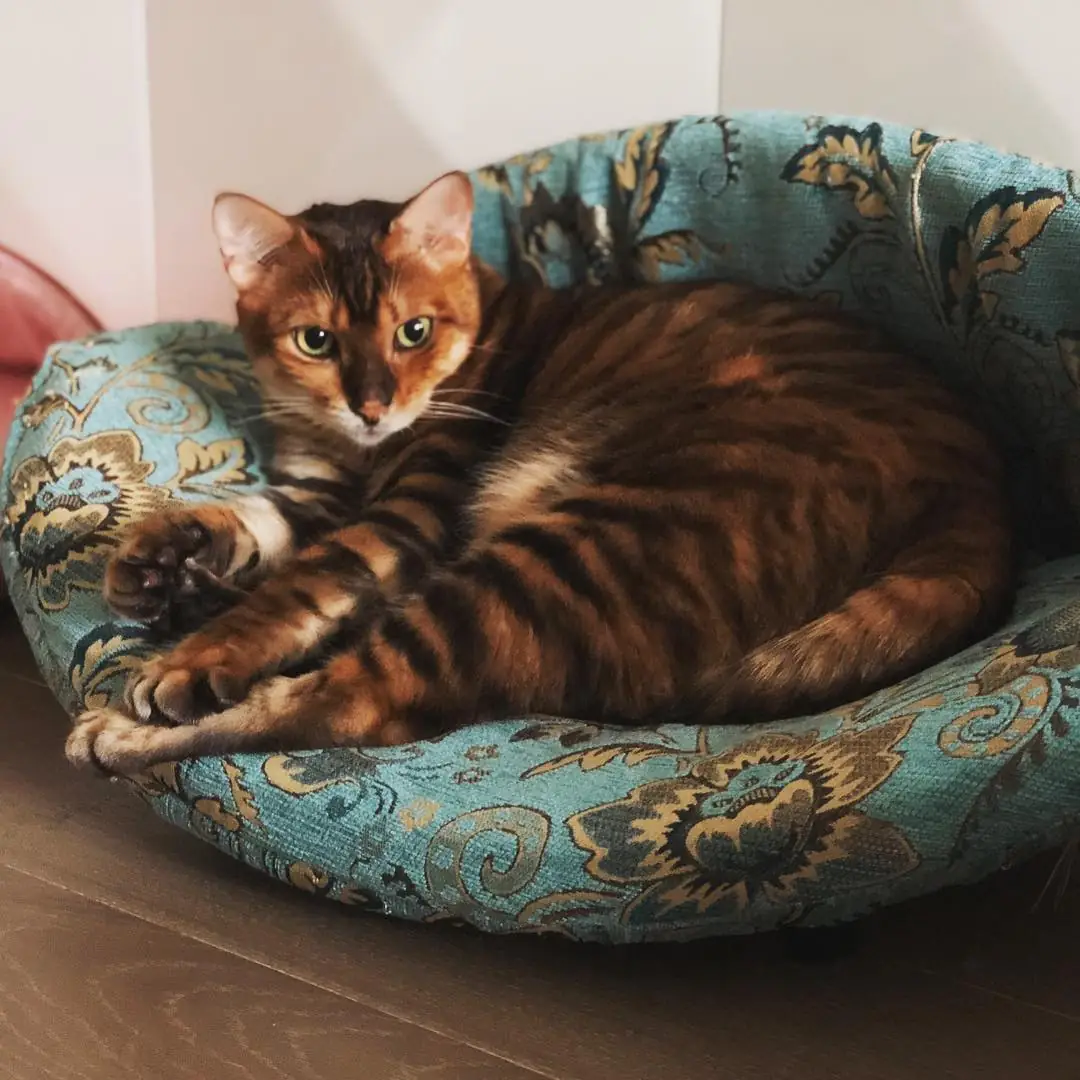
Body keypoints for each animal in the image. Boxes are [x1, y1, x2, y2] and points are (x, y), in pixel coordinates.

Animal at [66, 171, 1014, 774]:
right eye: (316, 339)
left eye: (413, 331)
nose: (373, 403)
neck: (357, 451)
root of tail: (981, 497)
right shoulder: (321, 493)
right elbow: (253, 517)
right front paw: (154, 554)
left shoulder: (406, 510)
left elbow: (295, 588)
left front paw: (190, 659)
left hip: (579, 544)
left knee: (354, 700)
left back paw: (118, 731)